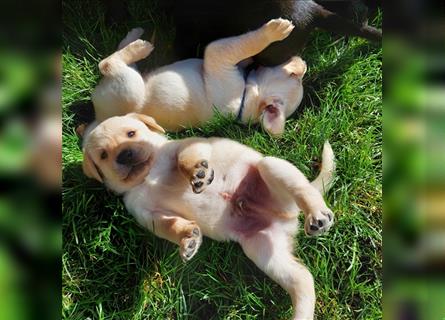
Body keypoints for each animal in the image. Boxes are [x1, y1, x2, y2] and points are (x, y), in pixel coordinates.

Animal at [81, 113, 334, 320]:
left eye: (131, 134)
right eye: (103, 155)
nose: (125, 155)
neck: (147, 175)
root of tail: (287, 215)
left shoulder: (186, 146)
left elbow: (185, 158)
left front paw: (198, 172)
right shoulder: (148, 215)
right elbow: (170, 226)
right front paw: (189, 239)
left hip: (271, 167)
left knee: (302, 189)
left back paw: (317, 215)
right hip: (264, 251)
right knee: (303, 280)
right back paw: (301, 314)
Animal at [90, 17, 306, 135]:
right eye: (295, 74)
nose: (303, 64)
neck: (245, 99)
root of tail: (99, 117)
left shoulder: (219, 53)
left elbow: (248, 42)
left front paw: (273, 32)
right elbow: (246, 49)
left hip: (129, 86)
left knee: (107, 64)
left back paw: (138, 46)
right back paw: (134, 37)